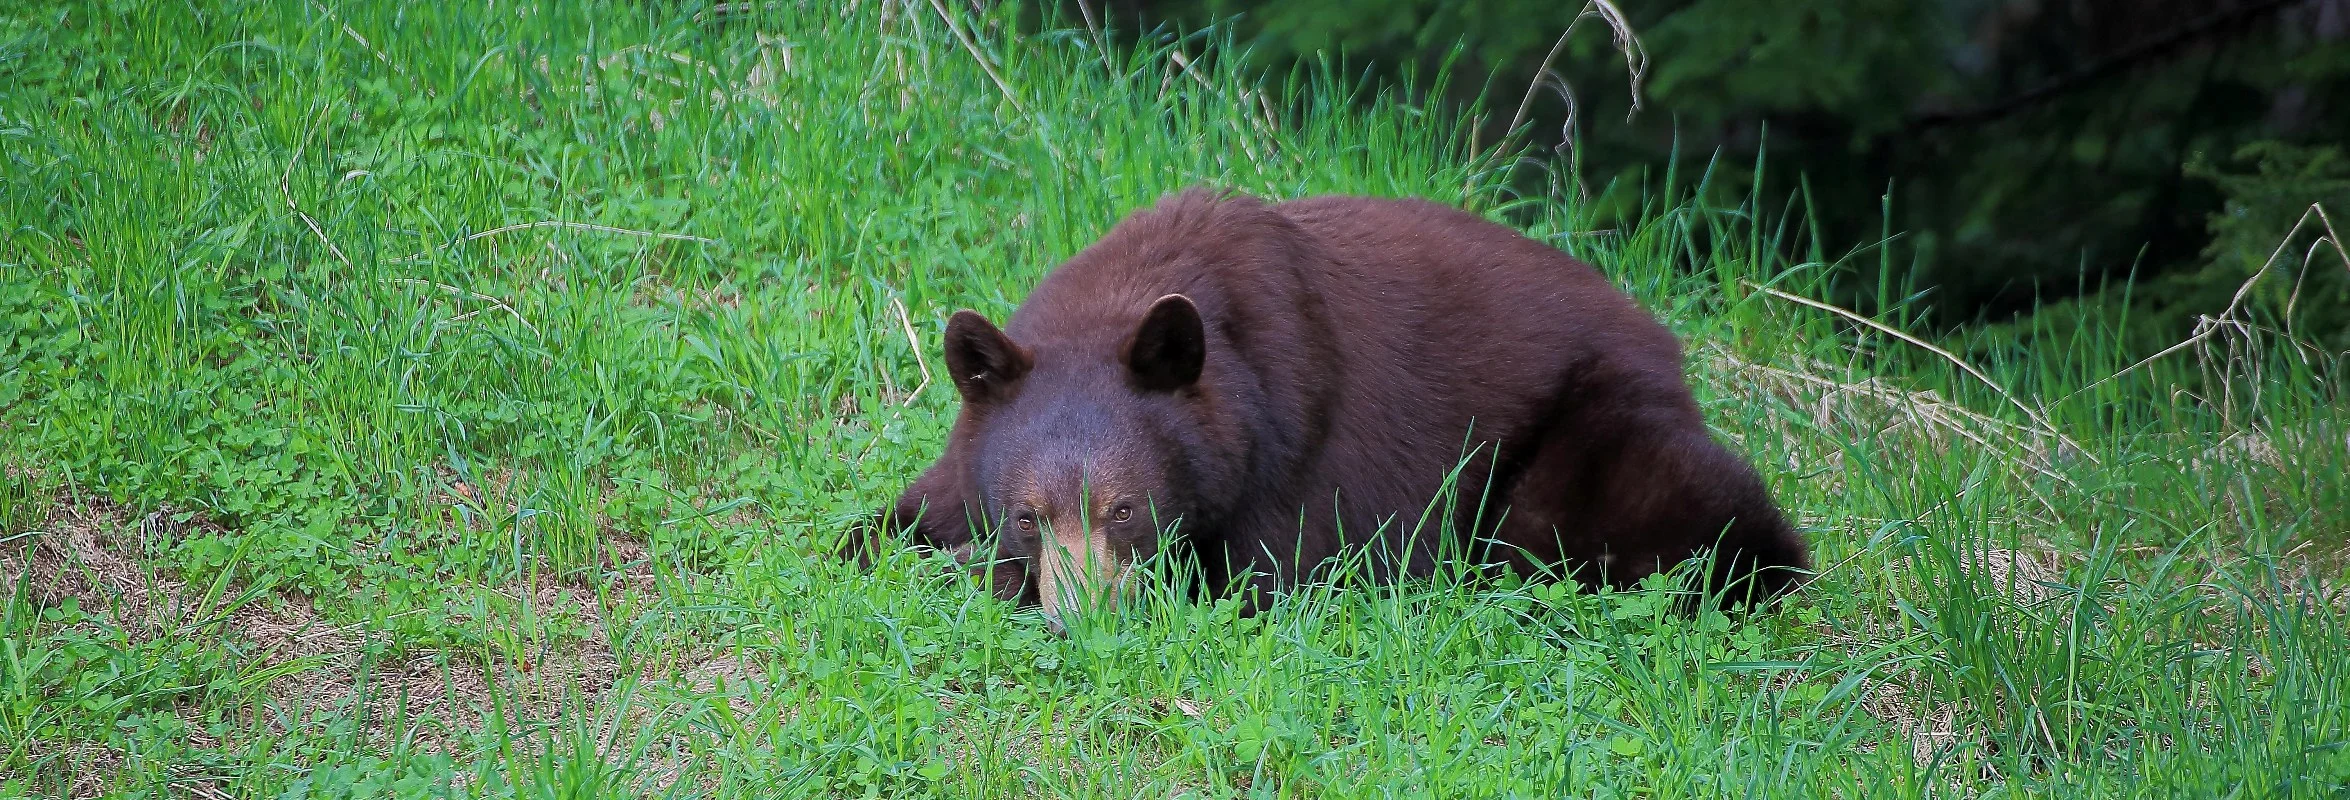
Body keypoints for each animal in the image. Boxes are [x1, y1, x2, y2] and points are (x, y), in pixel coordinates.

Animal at [846, 187, 1810, 630]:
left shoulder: (1292, 446)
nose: (1087, 621)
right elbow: (890, 520)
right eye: (1027, 514)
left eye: (1125, 510)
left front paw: (976, 574)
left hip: (1593, 434)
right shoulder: (971, 447)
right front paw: (930, 547)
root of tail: (1666, 342)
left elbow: (1254, 577)